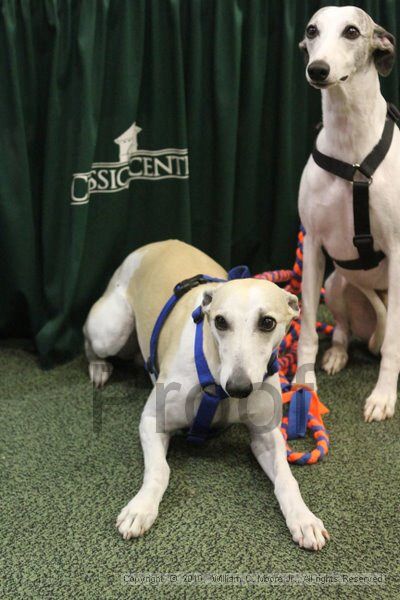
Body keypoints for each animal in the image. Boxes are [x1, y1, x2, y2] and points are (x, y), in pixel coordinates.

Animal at [83, 239, 328, 548]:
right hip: (111, 330)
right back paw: (99, 367)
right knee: (89, 339)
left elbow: (286, 477)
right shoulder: (152, 421)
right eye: (220, 321)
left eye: (268, 323)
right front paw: (140, 508)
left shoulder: (267, 435)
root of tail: (152, 245)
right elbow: (160, 470)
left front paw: (304, 518)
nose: (239, 388)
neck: (216, 380)